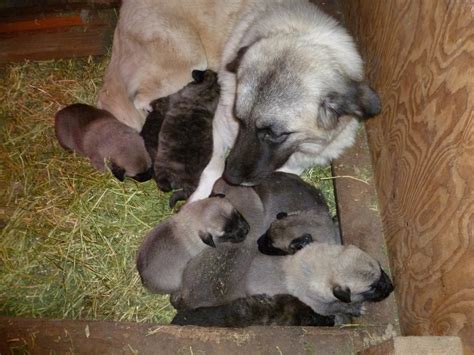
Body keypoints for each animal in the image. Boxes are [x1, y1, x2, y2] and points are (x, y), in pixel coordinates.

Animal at [141, 70, 220, 209]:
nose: (194, 70)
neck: (205, 92)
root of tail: (184, 182)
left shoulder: (170, 98)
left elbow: (158, 101)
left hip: (160, 168)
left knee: (164, 186)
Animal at [190, 0, 382, 202]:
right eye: (239, 120)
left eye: (275, 134)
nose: (231, 177)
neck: (300, 32)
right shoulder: (218, 125)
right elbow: (213, 167)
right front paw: (198, 199)